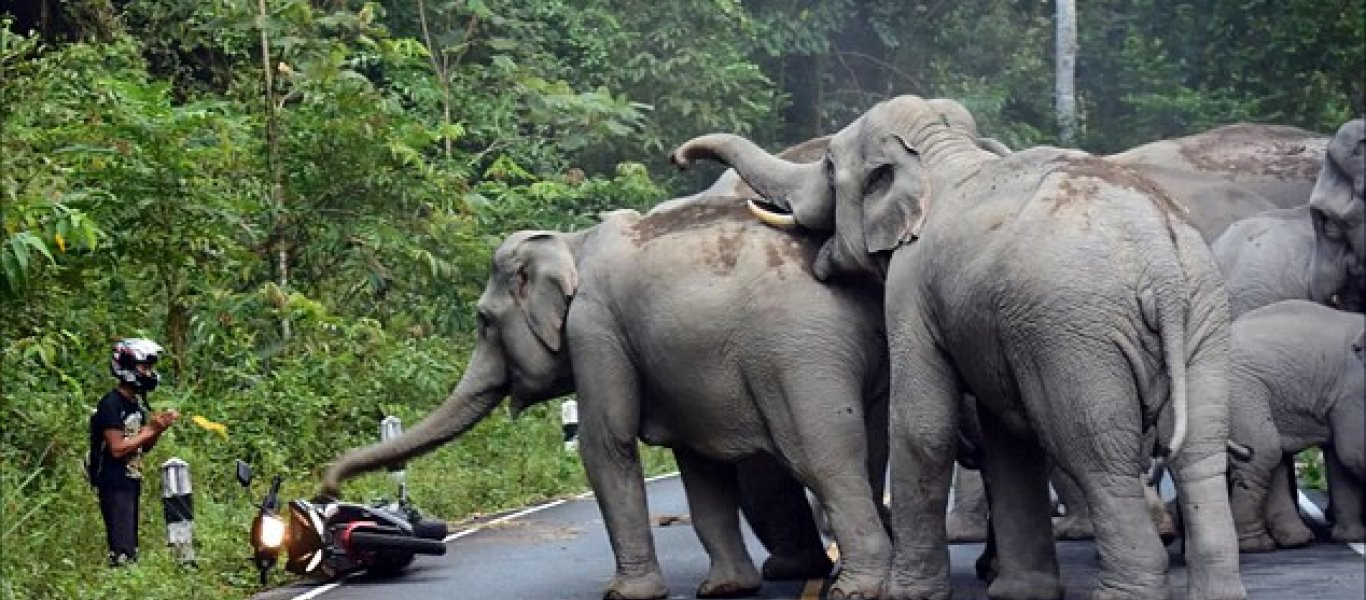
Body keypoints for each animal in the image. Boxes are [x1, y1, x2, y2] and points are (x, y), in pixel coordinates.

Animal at [323, 195, 890, 598]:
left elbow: (606, 443)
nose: (327, 487)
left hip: (799, 356)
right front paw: (724, 589)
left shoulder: (594, 330)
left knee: (823, 458)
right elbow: (698, 464)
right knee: (873, 450)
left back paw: (858, 589)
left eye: (483, 321)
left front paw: (624, 594)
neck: (571, 243)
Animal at [674, 94, 1251, 600]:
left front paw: (906, 594)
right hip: (1203, 317)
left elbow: (922, 426)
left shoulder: (910, 289)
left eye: (830, 168)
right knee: (1199, 452)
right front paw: (1019, 593)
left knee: (1096, 454)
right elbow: (1006, 439)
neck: (939, 151)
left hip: (1077, 335)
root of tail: (1159, 256)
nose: (677, 157)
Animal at [1229, 297, 1366, 552]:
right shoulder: (1353, 391)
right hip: (1242, 391)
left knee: (1273, 457)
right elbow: (1354, 453)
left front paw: (1352, 537)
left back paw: (1295, 539)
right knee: (1262, 452)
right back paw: (1257, 546)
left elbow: (1340, 458)